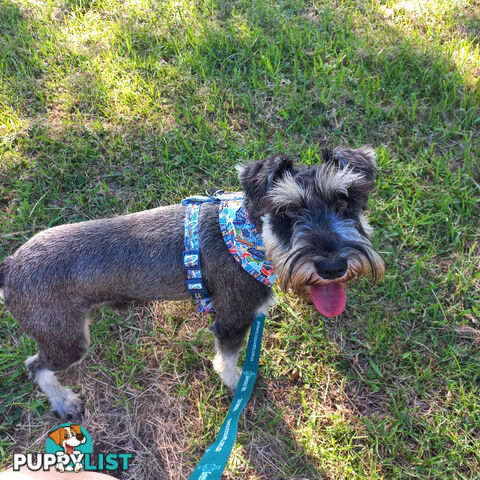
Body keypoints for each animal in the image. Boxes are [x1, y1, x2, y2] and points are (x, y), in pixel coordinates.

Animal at [0, 147, 382, 420]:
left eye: (344, 200)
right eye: (287, 211)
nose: (333, 266)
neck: (252, 238)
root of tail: (10, 265)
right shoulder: (232, 319)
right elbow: (227, 362)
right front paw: (240, 384)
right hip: (67, 340)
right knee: (36, 367)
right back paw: (64, 402)